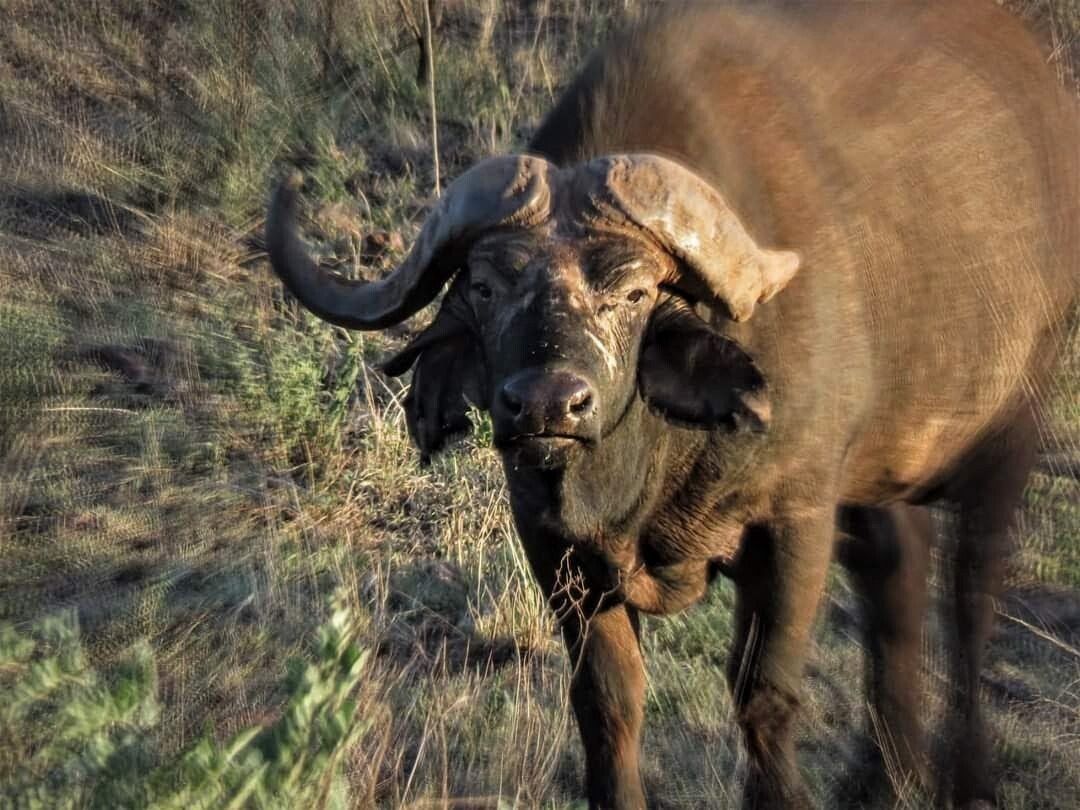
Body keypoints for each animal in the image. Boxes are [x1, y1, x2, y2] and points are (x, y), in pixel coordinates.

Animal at [266, 2, 1080, 808]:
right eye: (486, 287)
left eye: (633, 293)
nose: (548, 407)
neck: (648, 470)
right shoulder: (557, 549)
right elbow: (607, 701)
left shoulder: (795, 519)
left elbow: (764, 692)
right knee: (897, 576)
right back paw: (884, 775)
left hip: (1012, 419)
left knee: (971, 590)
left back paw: (965, 778)